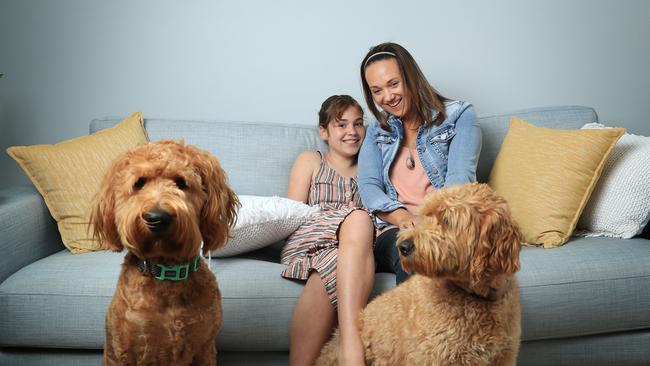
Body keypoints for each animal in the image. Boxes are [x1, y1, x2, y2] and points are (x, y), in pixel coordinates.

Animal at [91, 140, 238, 366]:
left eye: (181, 182)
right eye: (139, 183)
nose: (157, 218)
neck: (166, 272)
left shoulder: (205, 348)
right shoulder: (127, 351)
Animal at [316, 183, 524, 366]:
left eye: (447, 220)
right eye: (426, 216)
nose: (403, 246)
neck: (476, 297)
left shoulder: (504, 356)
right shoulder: (432, 357)